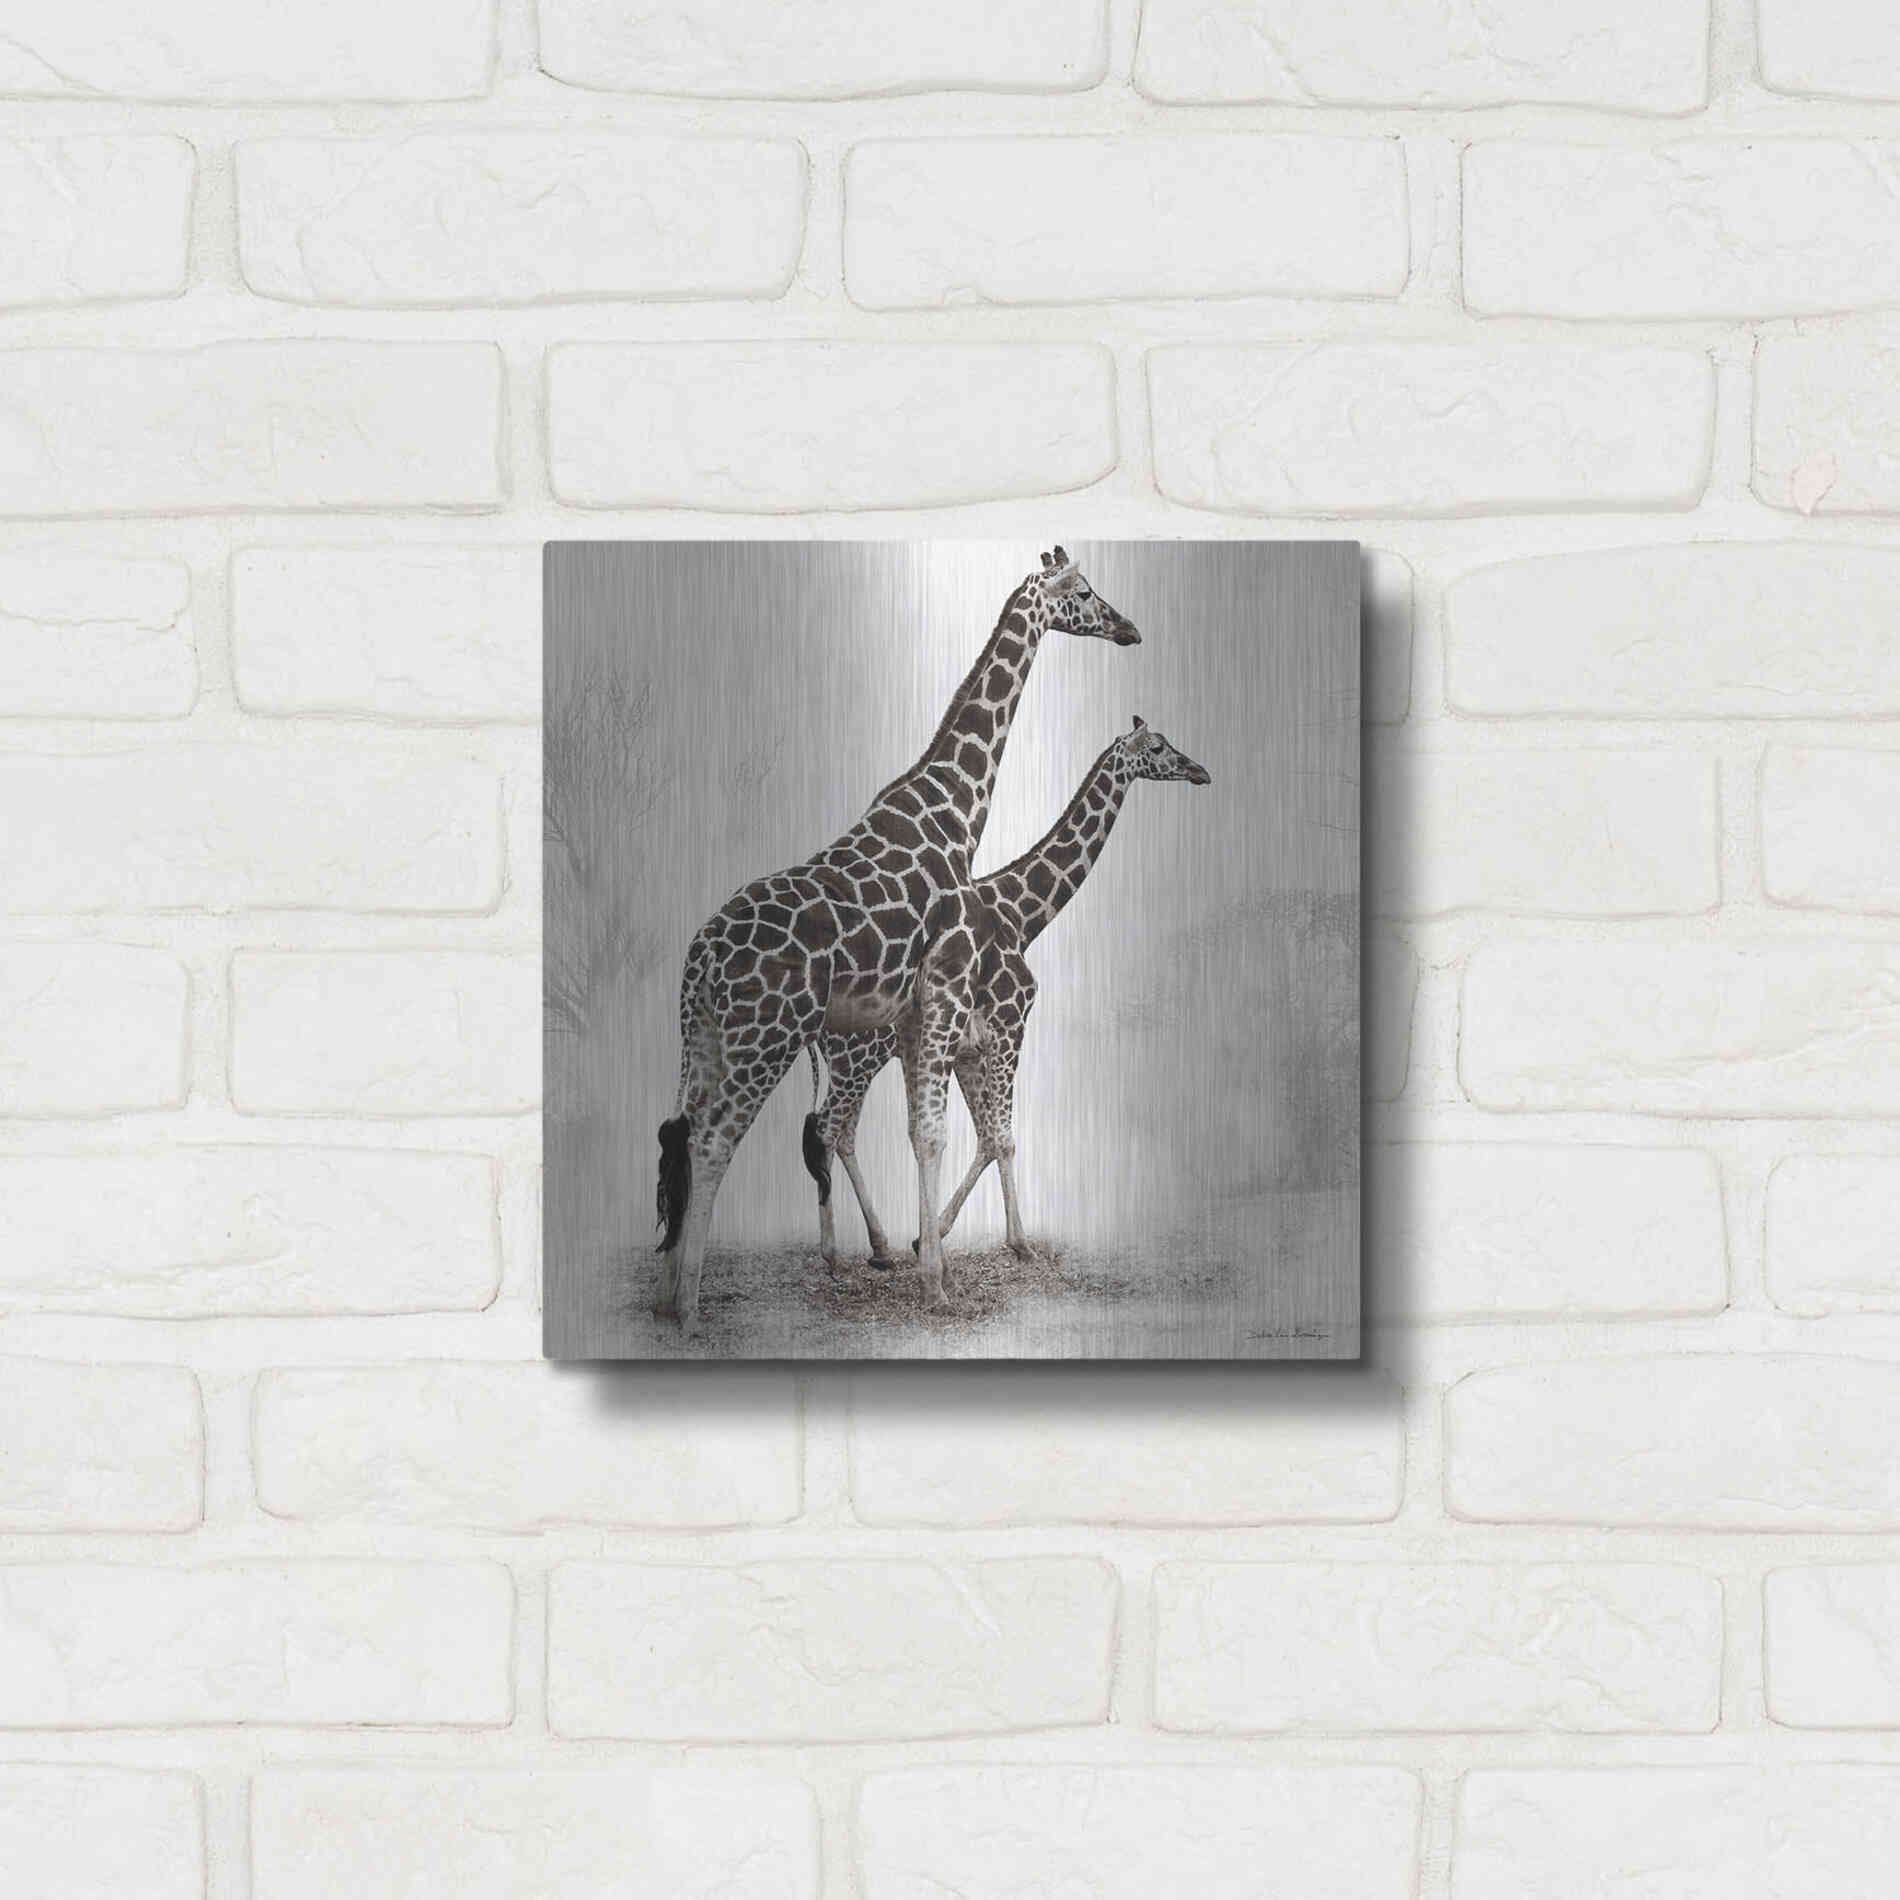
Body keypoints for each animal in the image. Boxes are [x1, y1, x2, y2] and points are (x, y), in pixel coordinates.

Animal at [654, 548, 1139, 1332]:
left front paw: (926, 1259)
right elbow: (940, 1133)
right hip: (768, 1037)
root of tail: (699, 959)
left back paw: (669, 1294)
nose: (1129, 629)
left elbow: (928, 1132)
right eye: (1086, 592)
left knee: (687, 1131)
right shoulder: (946, 993)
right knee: (718, 1138)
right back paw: (695, 1307)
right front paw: (936, 1281)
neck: (955, 811)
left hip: (706, 1037)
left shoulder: (922, 1015)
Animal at [807, 715, 1211, 1271]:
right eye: (1156, 747)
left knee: (842, 1131)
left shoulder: (970, 1049)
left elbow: (985, 1137)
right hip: (857, 1058)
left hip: (859, 1061)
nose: (1199, 771)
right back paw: (832, 1254)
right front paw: (1018, 1243)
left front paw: (928, 1237)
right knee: (828, 1128)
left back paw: (880, 1246)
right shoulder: (1010, 1025)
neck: (1021, 916)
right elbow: (1004, 1137)